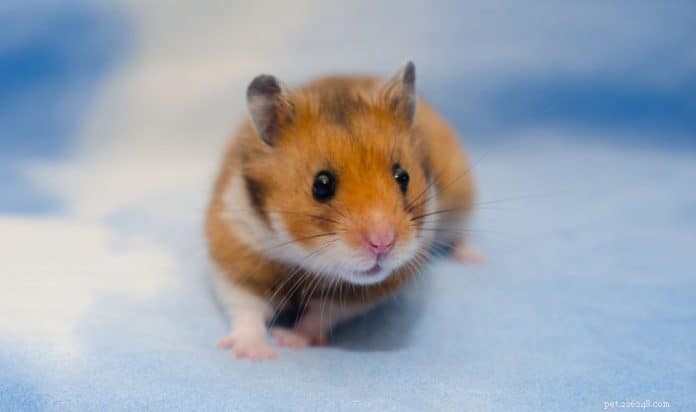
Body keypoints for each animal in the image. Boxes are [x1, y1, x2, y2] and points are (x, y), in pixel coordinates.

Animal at [206, 62, 480, 360]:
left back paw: (474, 258)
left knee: (461, 235)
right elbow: (246, 307)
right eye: (321, 184)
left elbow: (319, 316)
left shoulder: (361, 293)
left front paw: (289, 340)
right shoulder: (236, 250)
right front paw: (254, 353)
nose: (383, 244)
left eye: (403, 176)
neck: (304, 260)